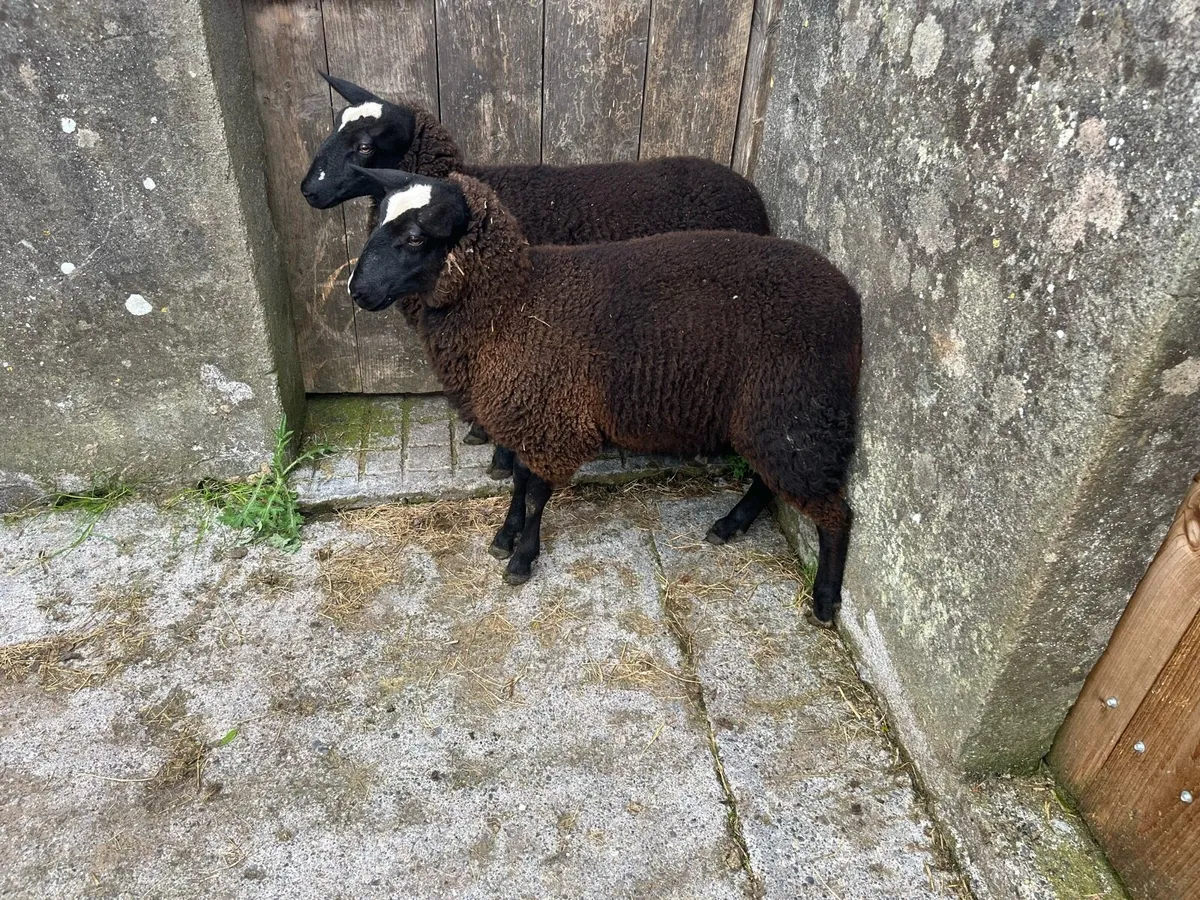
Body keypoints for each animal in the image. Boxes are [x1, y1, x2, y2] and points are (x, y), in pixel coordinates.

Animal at [345, 169, 861, 627]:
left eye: (416, 237)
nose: (357, 290)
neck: (513, 304)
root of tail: (846, 291)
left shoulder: (550, 415)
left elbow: (536, 494)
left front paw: (522, 558)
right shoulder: (528, 412)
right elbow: (518, 484)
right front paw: (505, 537)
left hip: (796, 404)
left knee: (835, 512)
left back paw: (824, 601)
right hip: (768, 412)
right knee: (770, 479)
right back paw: (729, 525)